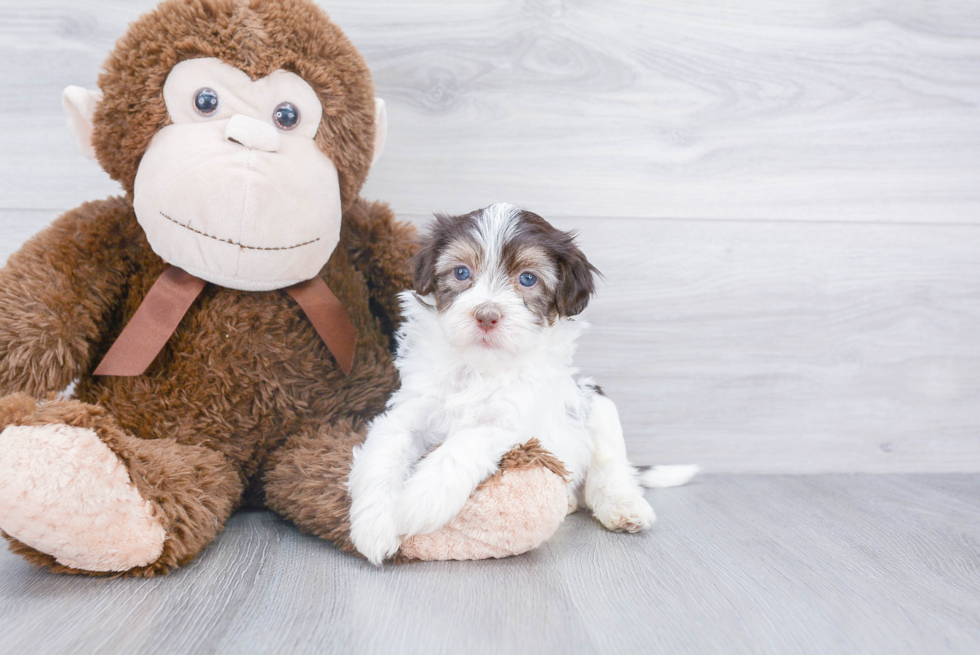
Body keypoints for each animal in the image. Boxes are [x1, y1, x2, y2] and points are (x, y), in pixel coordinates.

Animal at [348, 204, 692, 564]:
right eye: (461, 273)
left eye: (528, 278)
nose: (486, 315)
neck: (482, 367)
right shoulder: (411, 410)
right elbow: (386, 449)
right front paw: (374, 524)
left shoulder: (514, 423)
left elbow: (466, 441)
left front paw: (421, 499)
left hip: (596, 402)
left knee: (611, 469)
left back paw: (623, 506)